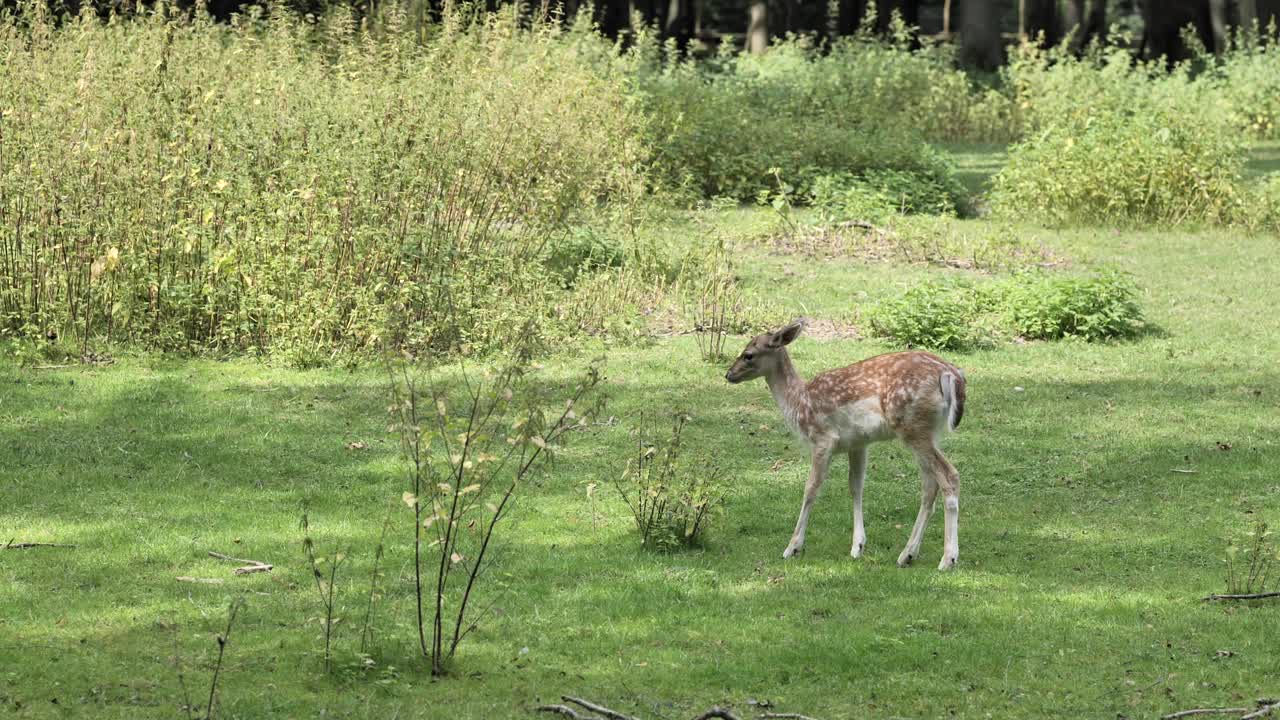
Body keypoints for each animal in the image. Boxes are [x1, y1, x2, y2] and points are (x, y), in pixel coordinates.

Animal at [727, 316, 962, 568]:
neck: (799, 403)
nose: (729, 374)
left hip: (912, 427)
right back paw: (907, 554)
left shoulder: (823, 438)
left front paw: (792, 547)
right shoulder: (858, 443)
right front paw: (857, 546)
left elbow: (810, 488)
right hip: (929, 431)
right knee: (930, 485)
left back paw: (948, 558)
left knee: (949, 476)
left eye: (748, 354)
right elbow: (856, 486)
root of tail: (951, 375)